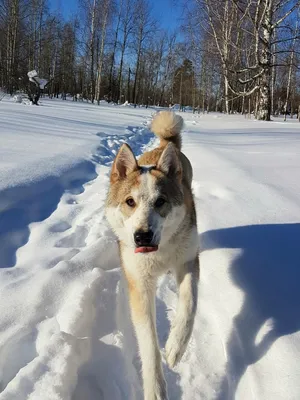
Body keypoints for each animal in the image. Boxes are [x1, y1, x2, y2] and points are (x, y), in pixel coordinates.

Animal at [105, 110, 199, 400]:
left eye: (161, 202)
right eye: (129, 202)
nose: (142, 236)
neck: (160, 253)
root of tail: (164, 145)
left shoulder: (188, 260)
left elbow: (189, 304)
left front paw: (175, 347)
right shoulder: (139, 283)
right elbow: (147, 339)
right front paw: (155, 388)